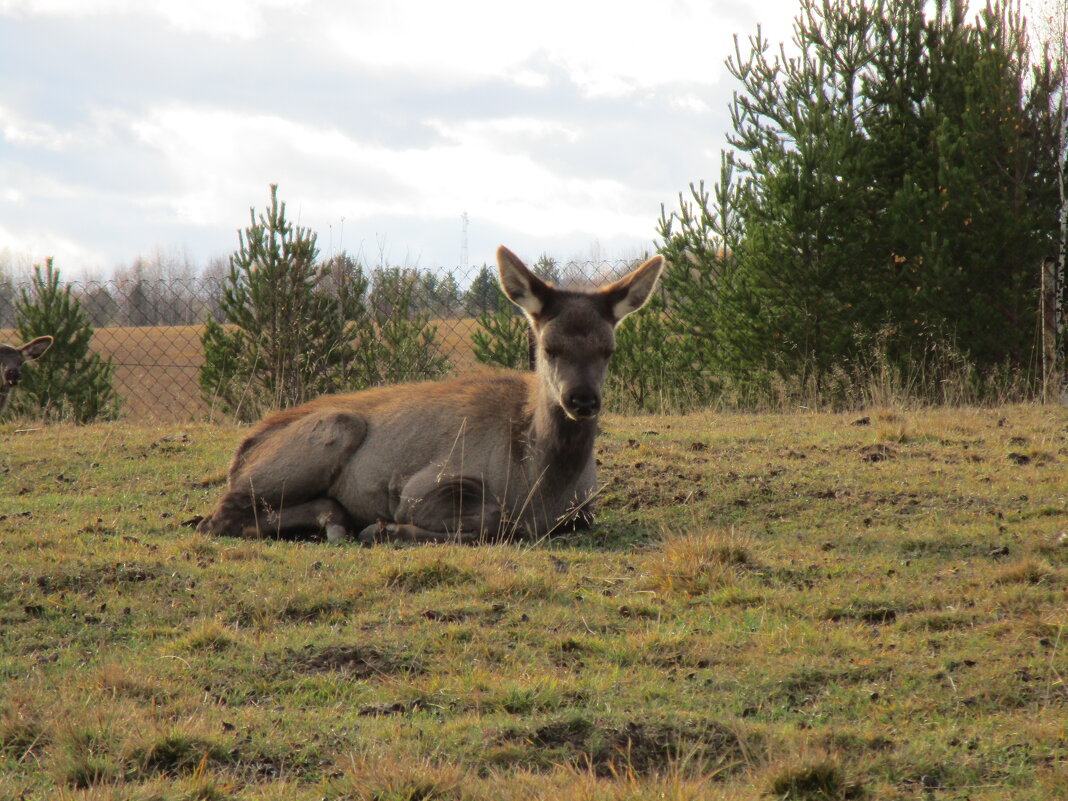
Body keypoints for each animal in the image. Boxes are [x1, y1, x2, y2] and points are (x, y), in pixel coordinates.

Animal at [197, 246, 662, 546]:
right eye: (548, 347)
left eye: (608, 349)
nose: (582, 400)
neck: (539, 480)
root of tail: (243, 450)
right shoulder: (424, 484)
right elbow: (497, 519)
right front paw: (385, 529)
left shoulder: (584, 509)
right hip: (329, 432)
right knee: (217, 516)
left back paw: (334, 521)